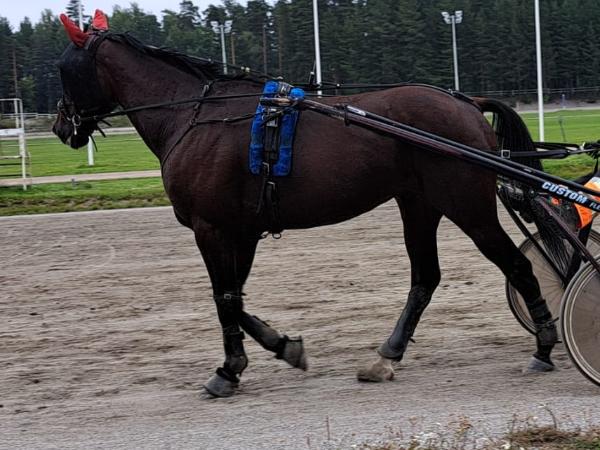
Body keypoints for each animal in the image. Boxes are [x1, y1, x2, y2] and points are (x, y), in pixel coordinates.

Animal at [52, 10, 558, 397]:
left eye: (60, 68)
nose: (62, 127)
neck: (194, 117)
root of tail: (466, 102)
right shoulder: (241, 229)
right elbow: (235, 297)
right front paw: (283, 347)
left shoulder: (210, 226)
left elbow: (223, 298)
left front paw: (228, 371)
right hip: (418, 204)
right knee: (425, 278)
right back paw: (386, 357)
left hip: (466, 204)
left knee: (518, 265)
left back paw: (545, 346)